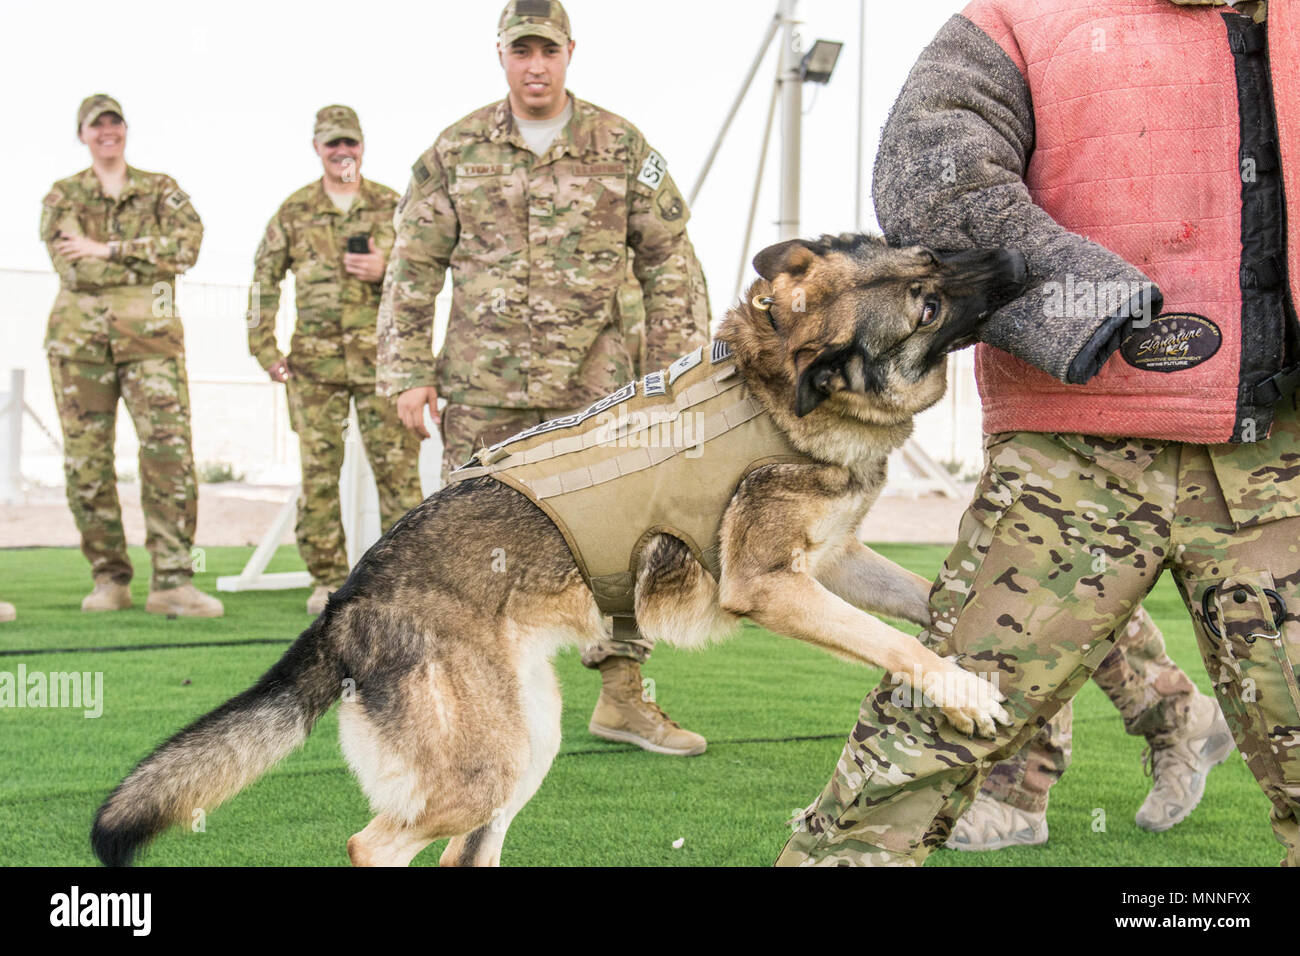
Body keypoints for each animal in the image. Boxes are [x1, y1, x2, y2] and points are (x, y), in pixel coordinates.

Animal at [89, 234, 1024, 868]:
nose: (1011, 254)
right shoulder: (771, 588)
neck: (775, 396)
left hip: (521, 746)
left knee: (464, 850)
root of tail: (347, 605)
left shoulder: (833, 566)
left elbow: (916, 599)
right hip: (484, 766)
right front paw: (963, 689)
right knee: (374, 845)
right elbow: (894, 640)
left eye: (932, 259)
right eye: (927, 306)